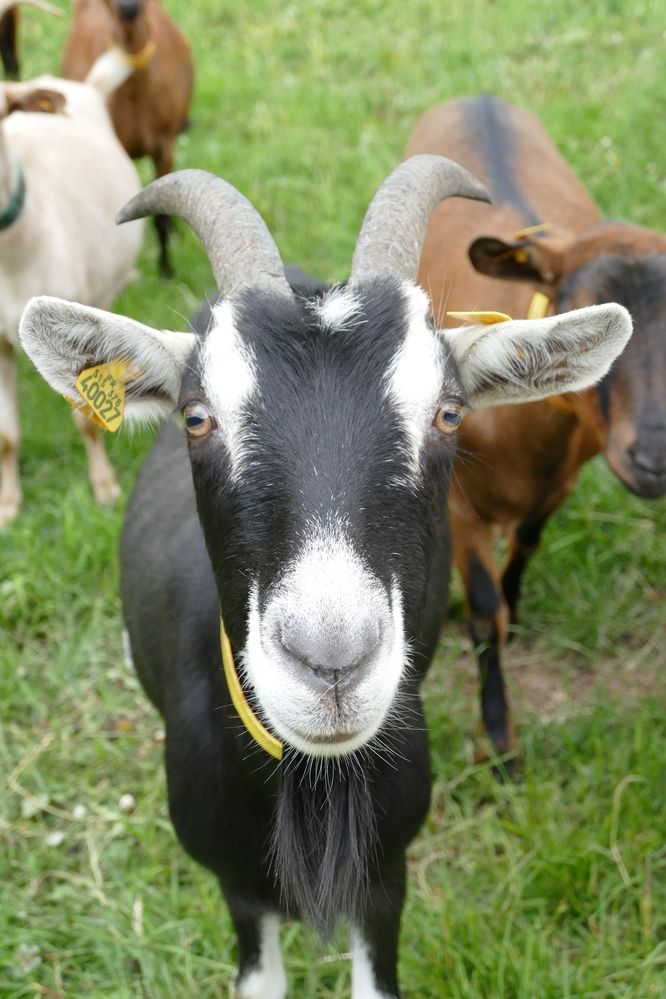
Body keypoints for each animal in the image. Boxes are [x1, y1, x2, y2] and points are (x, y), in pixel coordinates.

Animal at [405, 95, 666, 768]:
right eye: (577, 305)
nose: (654, 458)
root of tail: (478, 97)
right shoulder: (459, 503)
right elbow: (483, 614)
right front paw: (500, 747)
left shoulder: (561, 481)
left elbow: (525, 543)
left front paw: (518, 609)